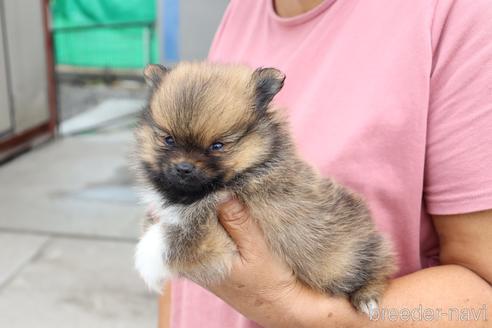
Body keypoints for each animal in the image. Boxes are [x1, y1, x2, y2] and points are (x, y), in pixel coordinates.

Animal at [134, 61, 396, 316]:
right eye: (168, 140)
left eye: (217, 146)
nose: (183, 168)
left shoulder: (208, 227)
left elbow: (167, 243)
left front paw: (146, 264)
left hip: (346, 258)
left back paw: (367, 296)